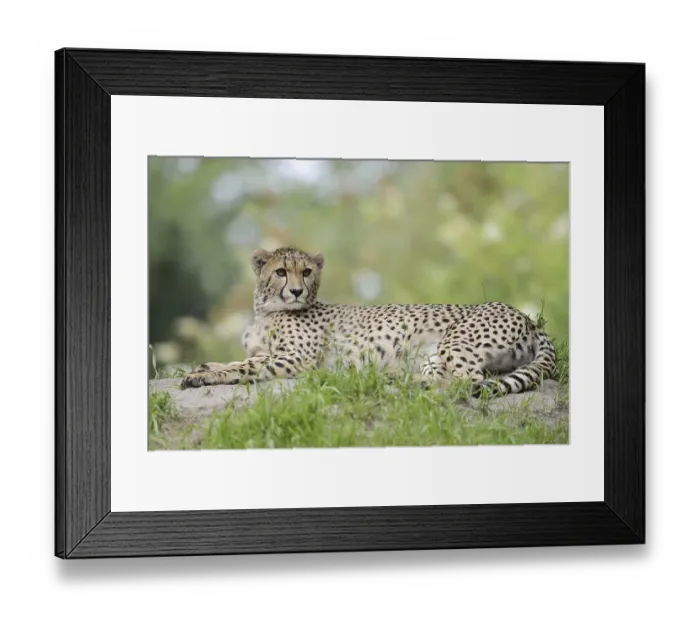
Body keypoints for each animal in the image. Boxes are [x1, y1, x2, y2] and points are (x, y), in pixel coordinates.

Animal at [181, 247, 557, 396]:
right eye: (280, 272)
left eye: (306, 271)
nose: (297, 291)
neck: (267, 310)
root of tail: (530, 320)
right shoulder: (267, 350)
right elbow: (241, 359)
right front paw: (204, 367)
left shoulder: (298, 359)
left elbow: (244, 366)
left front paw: (204, 375)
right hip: (435, 354)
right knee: (444, 378)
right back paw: (396, 379)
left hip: (455, 341)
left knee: (467, 382)